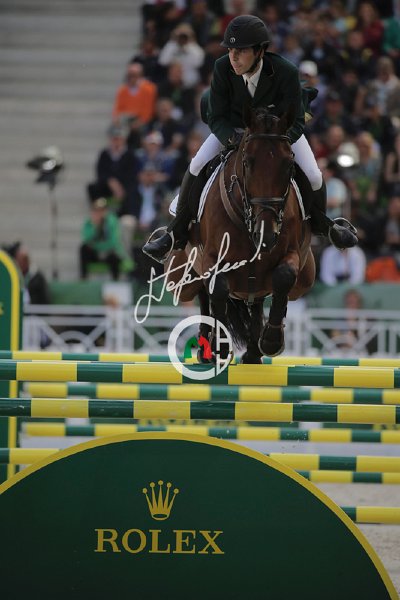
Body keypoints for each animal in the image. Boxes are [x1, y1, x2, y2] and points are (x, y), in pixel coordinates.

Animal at [164, 105, 316, 364]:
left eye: (289, 165)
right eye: (247, 162)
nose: (266, 235)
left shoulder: (291, 254)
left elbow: (283, 277)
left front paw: (271, 341)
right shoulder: (211, 259)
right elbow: (217, 288)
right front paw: (220, 346)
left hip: (304, 279)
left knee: (258, 301)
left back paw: (254, 351)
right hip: (181, 279)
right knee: (202, 294)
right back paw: (207, 348)